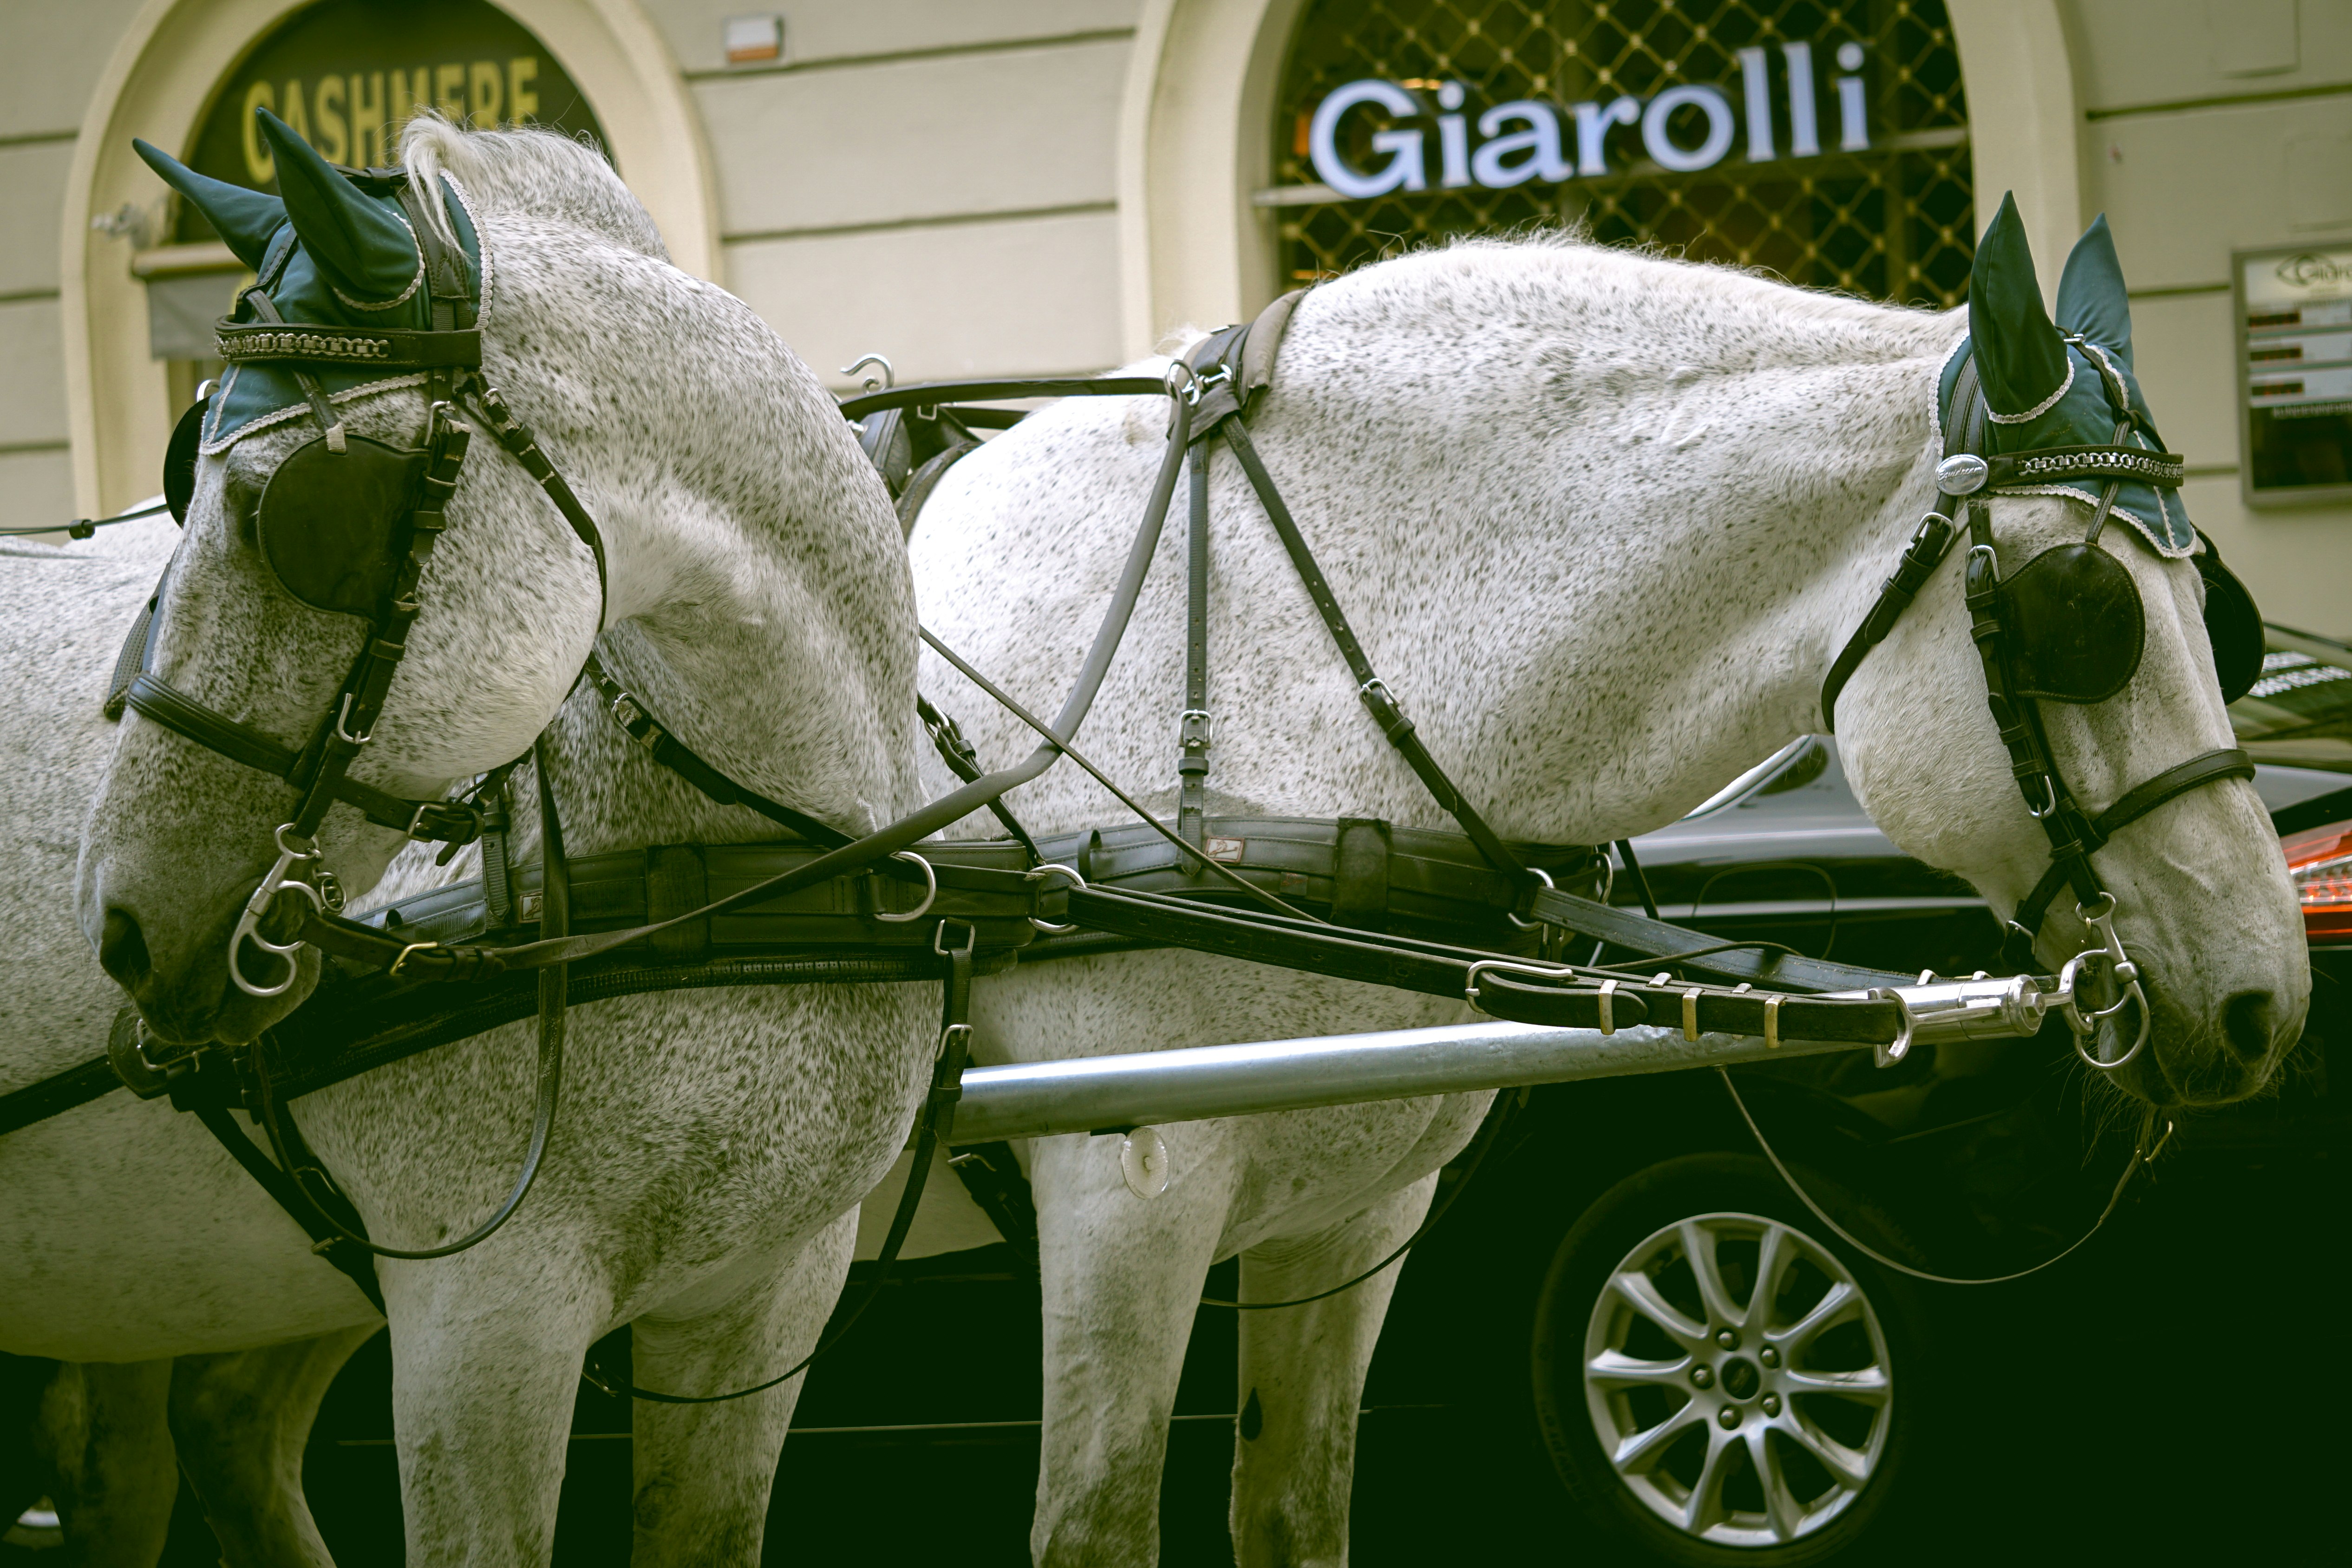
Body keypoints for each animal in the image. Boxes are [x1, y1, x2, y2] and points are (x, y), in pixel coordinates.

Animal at [908, 215, 2305, 1561]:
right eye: (2088, 617)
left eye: (2222, 613)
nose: (2265, 1004)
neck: (1255, 643)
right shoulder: (1123, 1198)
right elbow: (1097, 1529)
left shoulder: (1350, 1213)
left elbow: (1296, 1511)